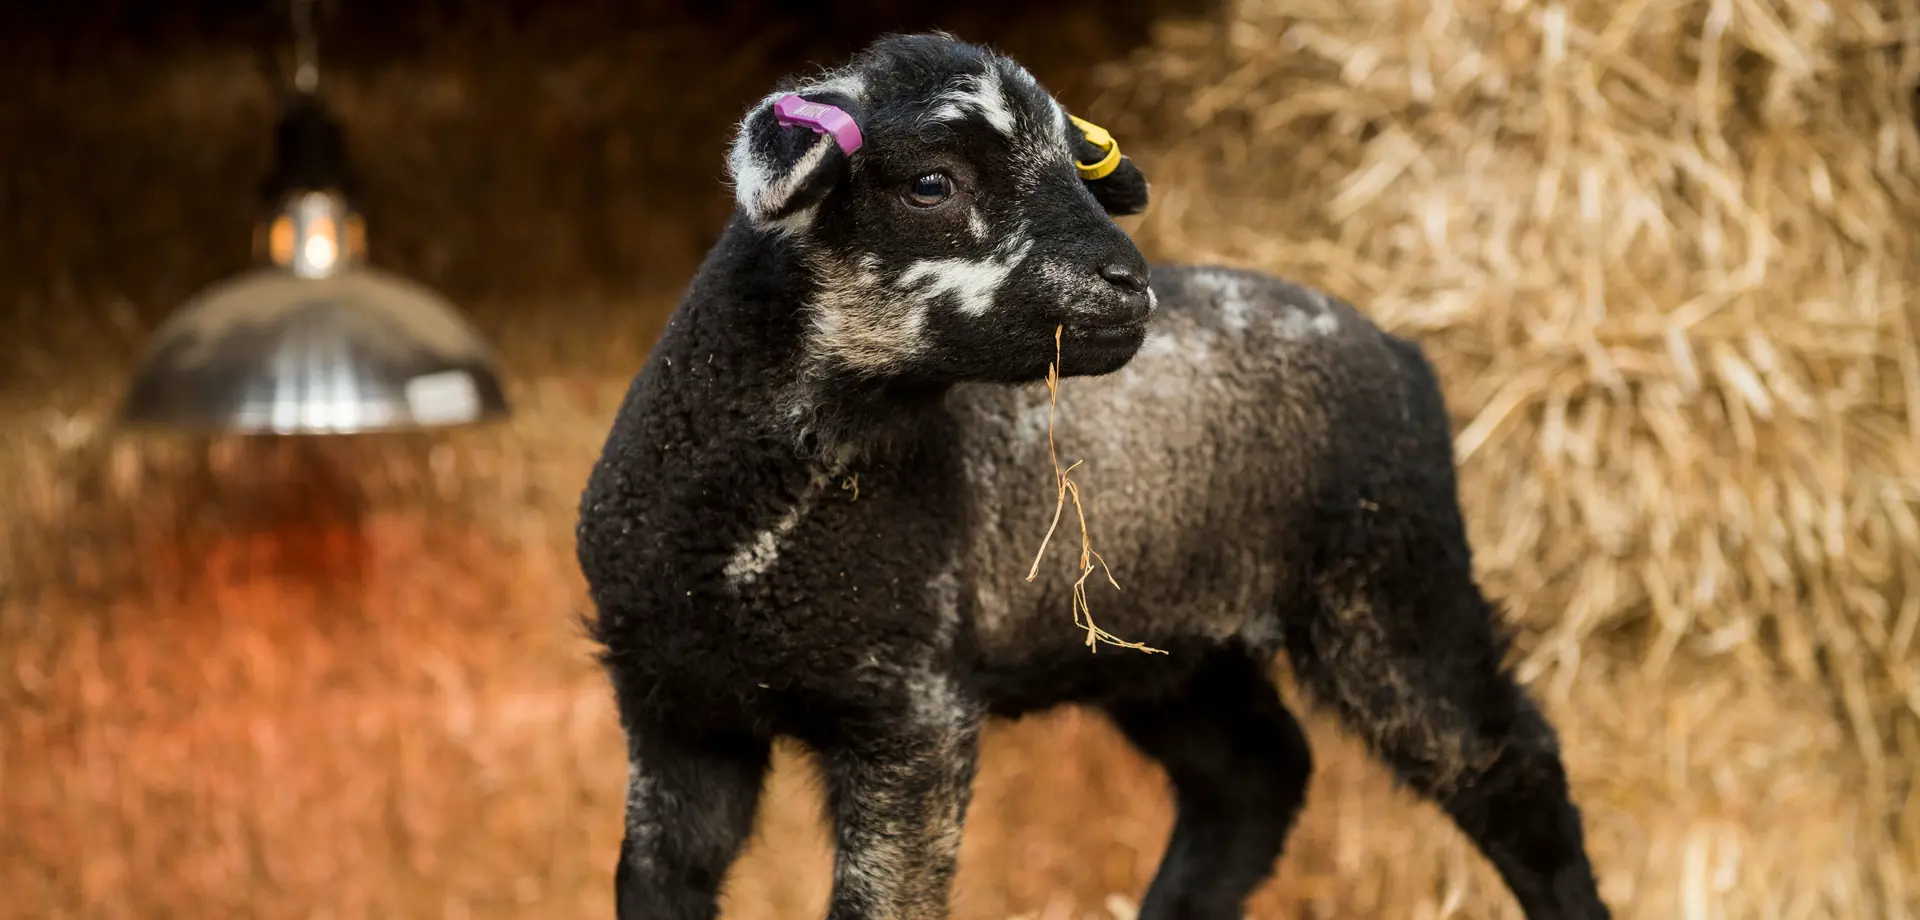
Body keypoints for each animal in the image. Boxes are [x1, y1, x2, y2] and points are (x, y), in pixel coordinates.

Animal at [575, 31, 1612, 920]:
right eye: (929, 183)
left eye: (1081, 172)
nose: (1129, 283)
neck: (746, 542)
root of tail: (1400, 349)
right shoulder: (676, 713)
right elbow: (655, 882)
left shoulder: (909, 712)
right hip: (1169, 645)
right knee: (1257, 776)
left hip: (1392, 579)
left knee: (1508, 767)